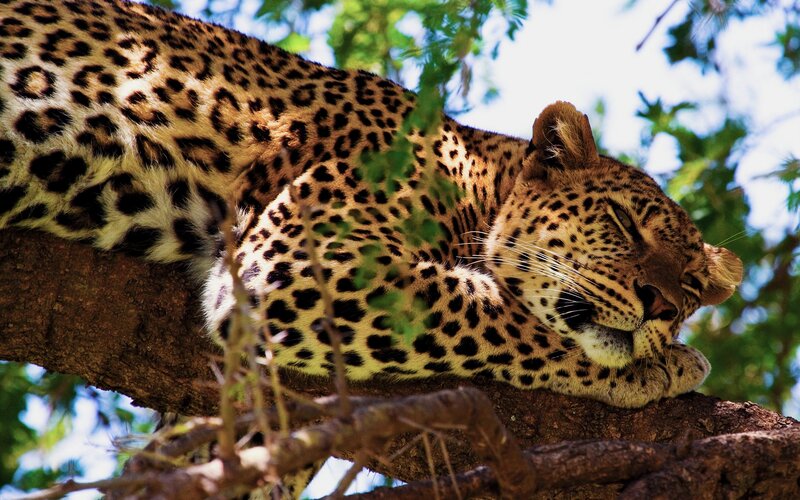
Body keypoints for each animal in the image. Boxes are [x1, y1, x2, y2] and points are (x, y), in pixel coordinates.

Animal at [0, 0, 743, 410]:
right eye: (622, 223)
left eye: (693, 288)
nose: (663, 308)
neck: (477, 180)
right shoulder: (303, 258)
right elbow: (496, 313)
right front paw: (659, 367)